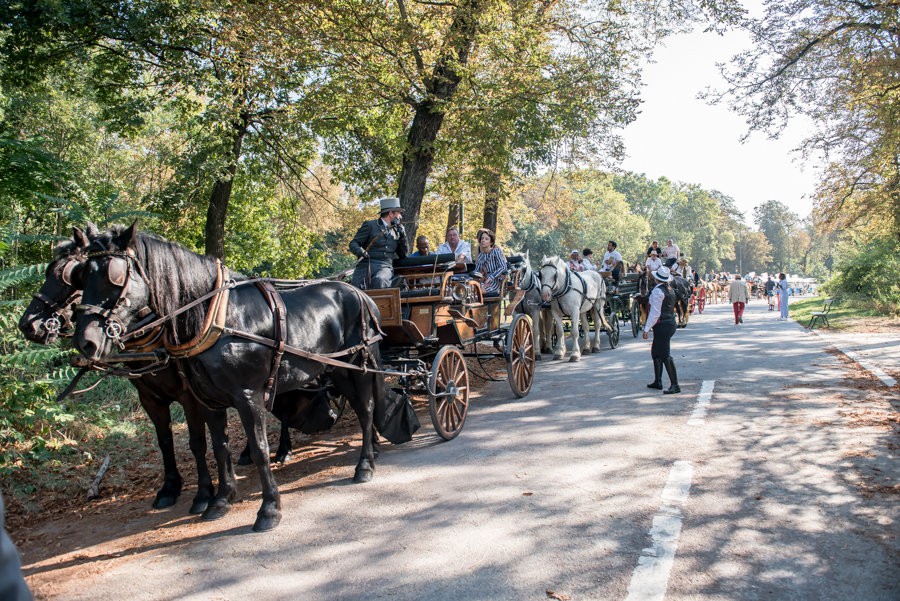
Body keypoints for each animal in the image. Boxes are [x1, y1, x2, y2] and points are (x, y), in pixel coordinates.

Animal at [73, 224, 386, 528]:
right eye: (81, 275)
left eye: (115, 276)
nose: (85, 341)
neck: (216, 318)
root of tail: (362, 295)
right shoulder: (208, 399)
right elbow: (219, 448)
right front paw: (221, 500)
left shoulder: (247, 396)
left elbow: (259, 449)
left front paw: (269, 508)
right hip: (338, 370)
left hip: (356, 368)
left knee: (366, 409)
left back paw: (365, 465)